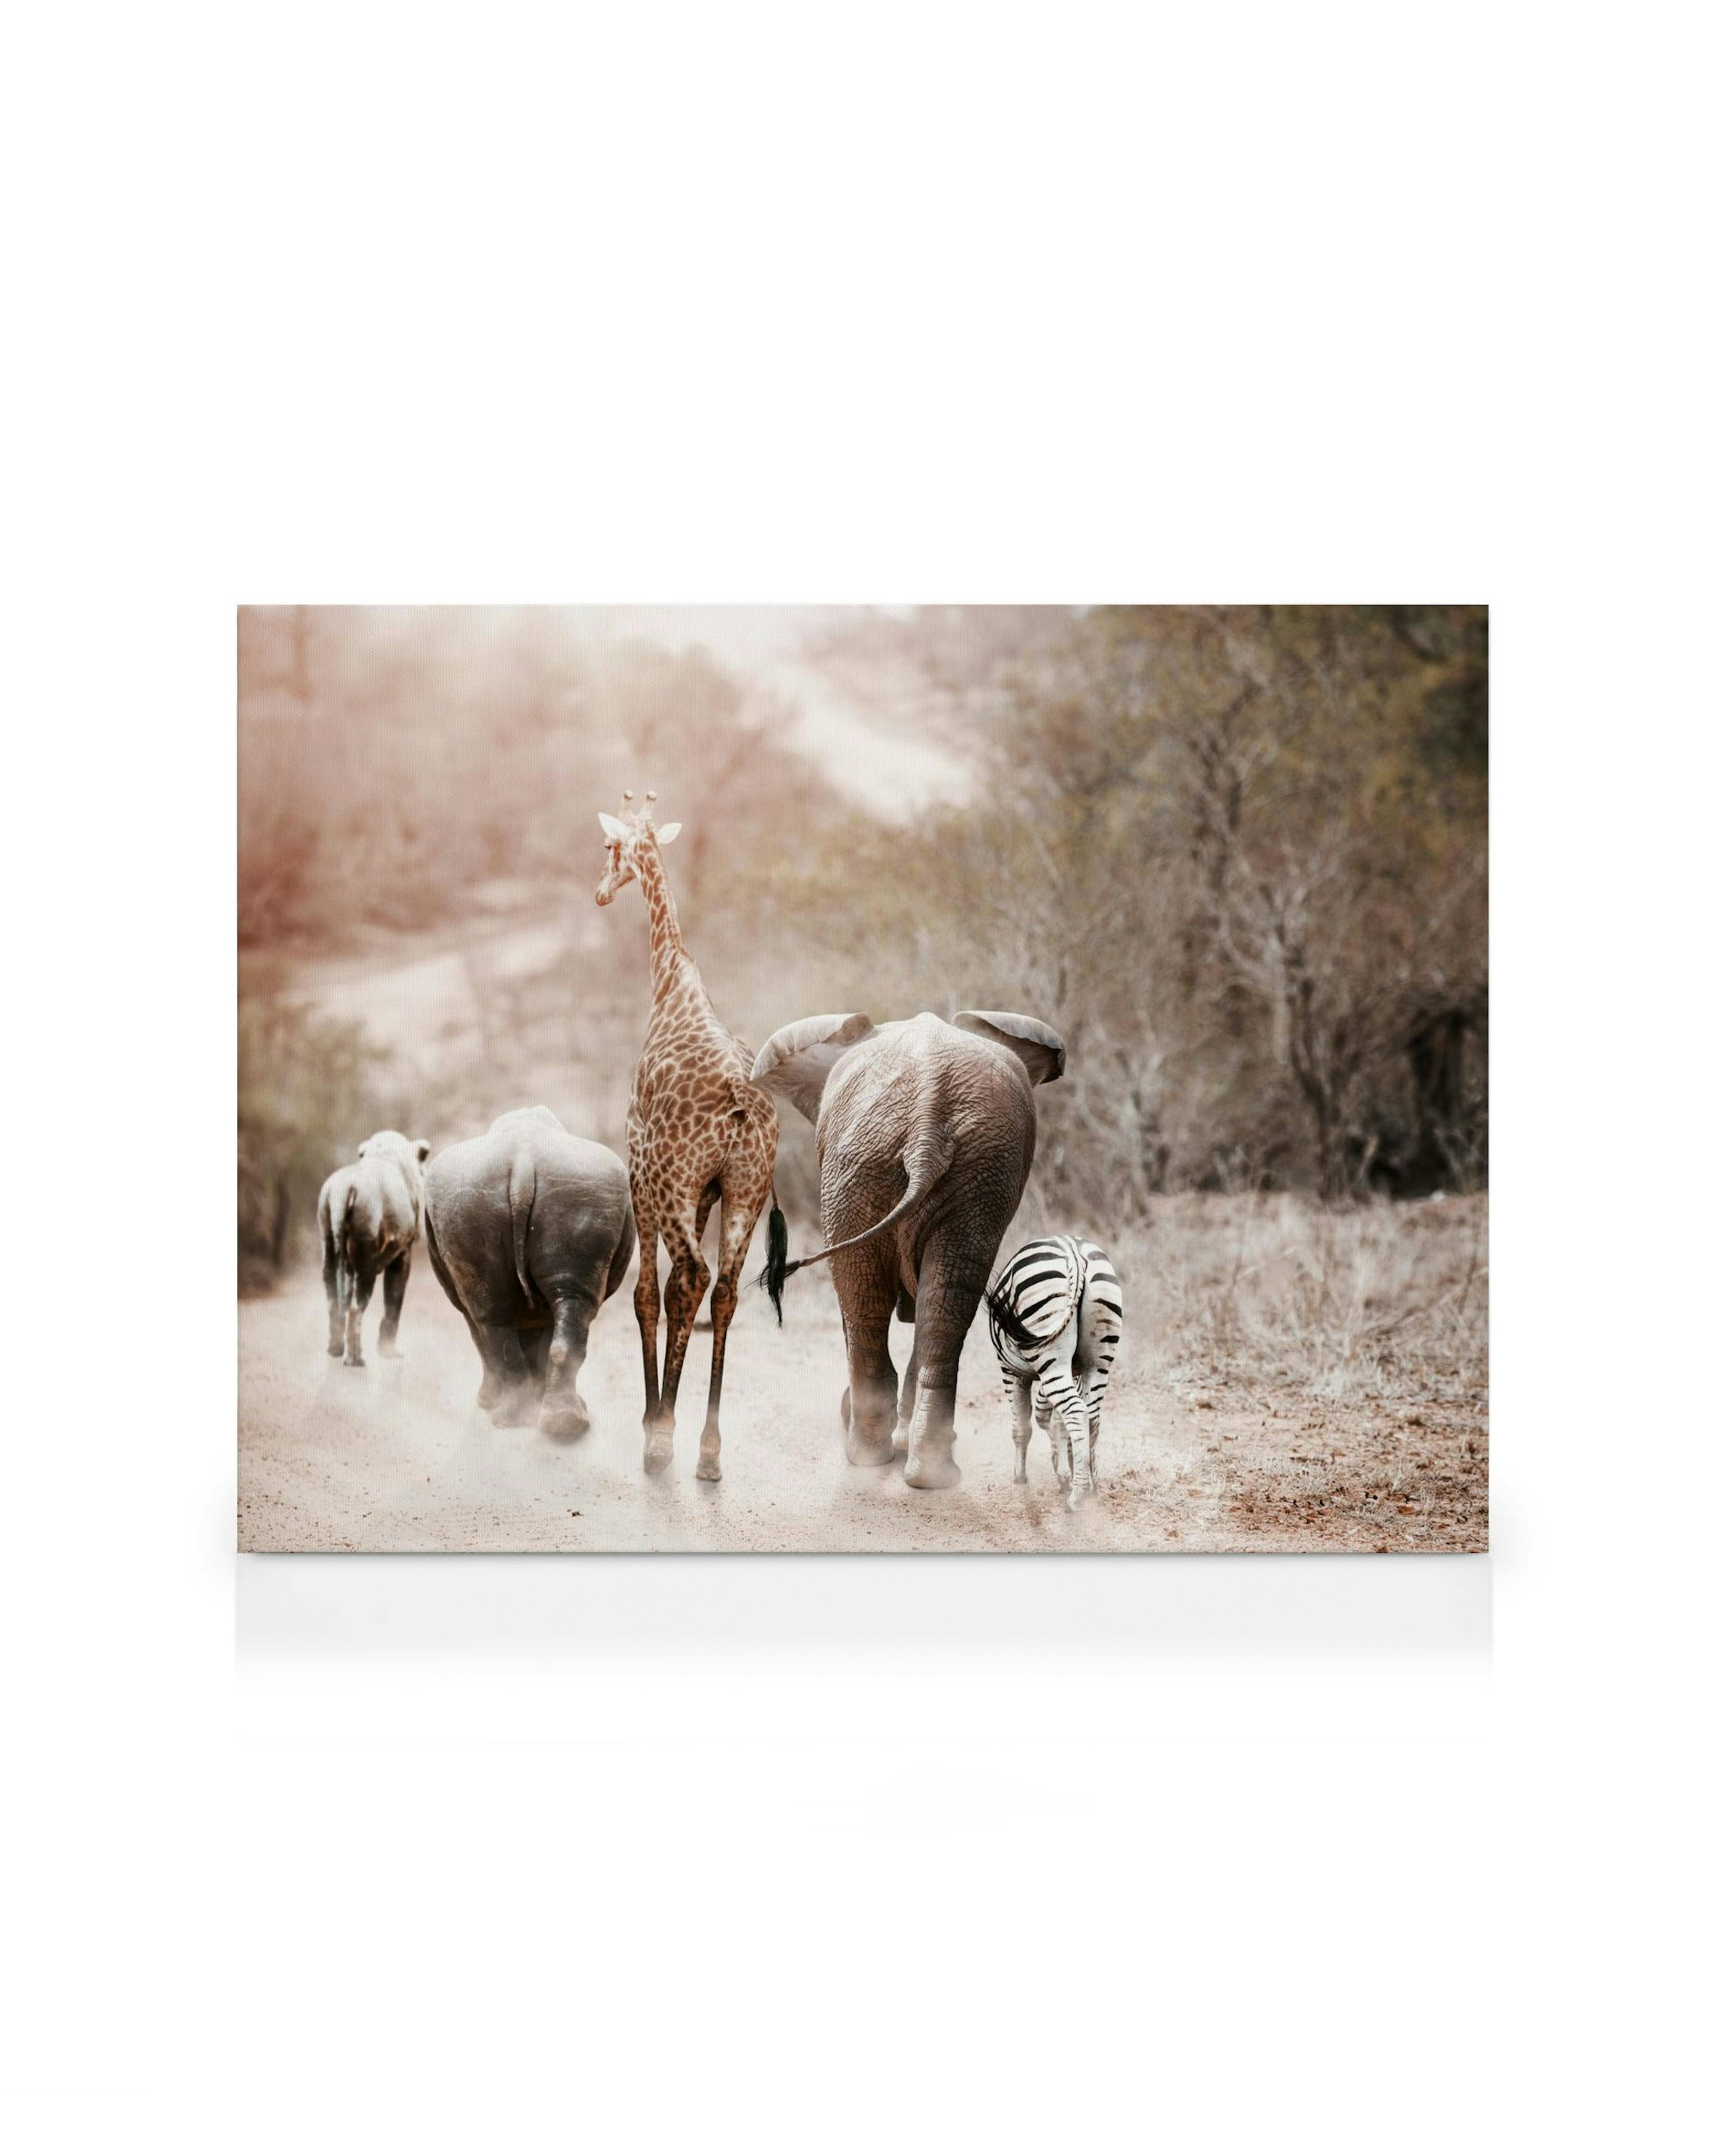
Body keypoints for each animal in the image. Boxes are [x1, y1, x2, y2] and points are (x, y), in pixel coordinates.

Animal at [318, 1131, 431, 1366]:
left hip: (329, 1243)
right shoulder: (404, 1252)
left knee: (335, 1301)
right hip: (367, 1261)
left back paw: (335, 1350)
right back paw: (356, 1359)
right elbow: (394, 1301)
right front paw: (389, 1352)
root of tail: (343, 1190)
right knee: (355, 1308)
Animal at [422, 1107, 635, 1437]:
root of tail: (523, 1161)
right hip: (575, 1191)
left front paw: (492, 1401)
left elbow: (485, 1335)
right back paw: (563, 1424)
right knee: (562, 1303)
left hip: (487, 1197)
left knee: (492, 1317)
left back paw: (516, 1419)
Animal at [595, 791, 785, 1480]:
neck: (670, 981)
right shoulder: (705, 1192)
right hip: (746, 1191)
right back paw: (708, 1448)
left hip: (679, 1186)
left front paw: (652, 1420)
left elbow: (647, 1294)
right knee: (724, 1290)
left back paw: (664, 1439)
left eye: (610, 848)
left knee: (694, 1280)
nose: (600, 893)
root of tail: (739, 1106)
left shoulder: (640, 1168)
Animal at [752, 1009, 1066, 1490]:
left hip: (873, 1167)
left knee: (872, 1300)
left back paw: (871, 1456)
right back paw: (925, 1473)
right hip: (938, 1169)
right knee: (938, 1299)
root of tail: (927, 1119)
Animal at [984, 1236, 1123, 1509]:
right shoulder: (1073, 1371)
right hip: (1098, 1358)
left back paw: (1077, 1496)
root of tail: (1074, 1252)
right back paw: (1091, 1485)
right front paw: (1066, 1468)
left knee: (1077, 1411)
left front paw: (1022, 1478)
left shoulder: (1011, 1372)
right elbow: (1054, 1420)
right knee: (1091, 1415)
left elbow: (1023, 1427)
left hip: (1050, 1349)